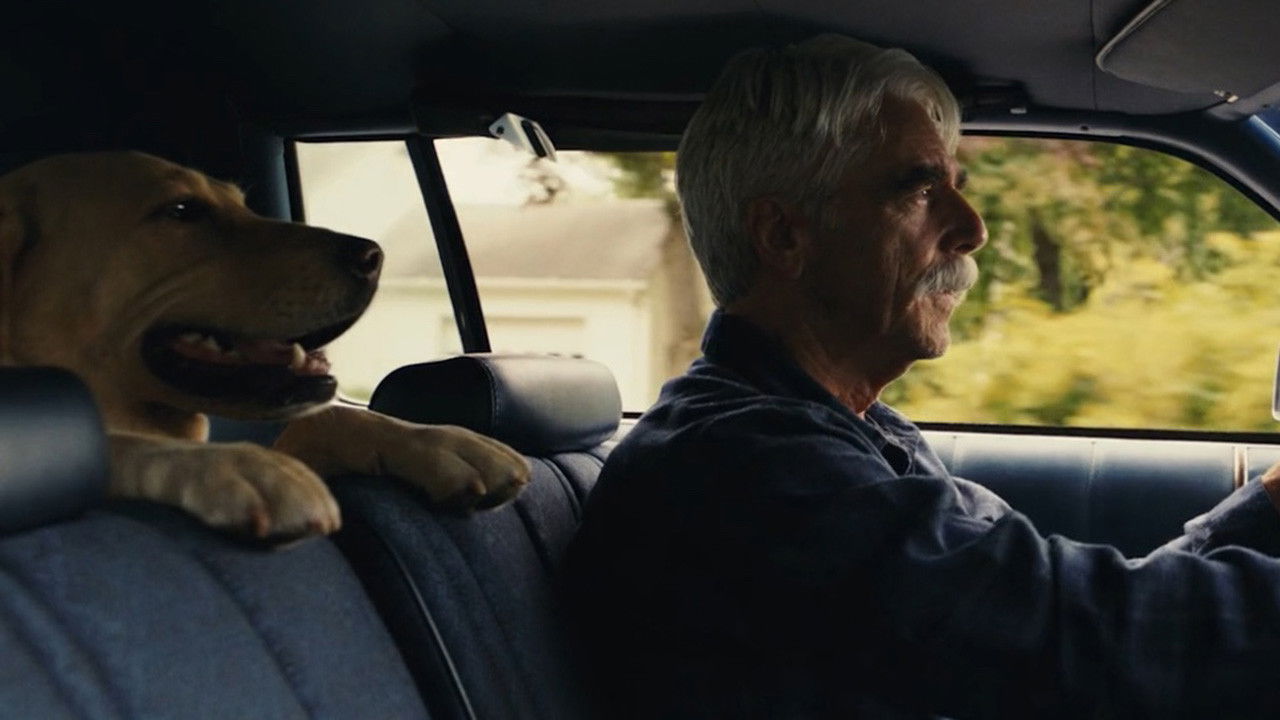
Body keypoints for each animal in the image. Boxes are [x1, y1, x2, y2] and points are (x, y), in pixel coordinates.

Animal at [0, 151, 529, 540]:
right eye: (181, 211)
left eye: (244, 204)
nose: (373, 255)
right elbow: (111, 443)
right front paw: (234, 463)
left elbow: (331, 419)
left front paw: (439, 440)